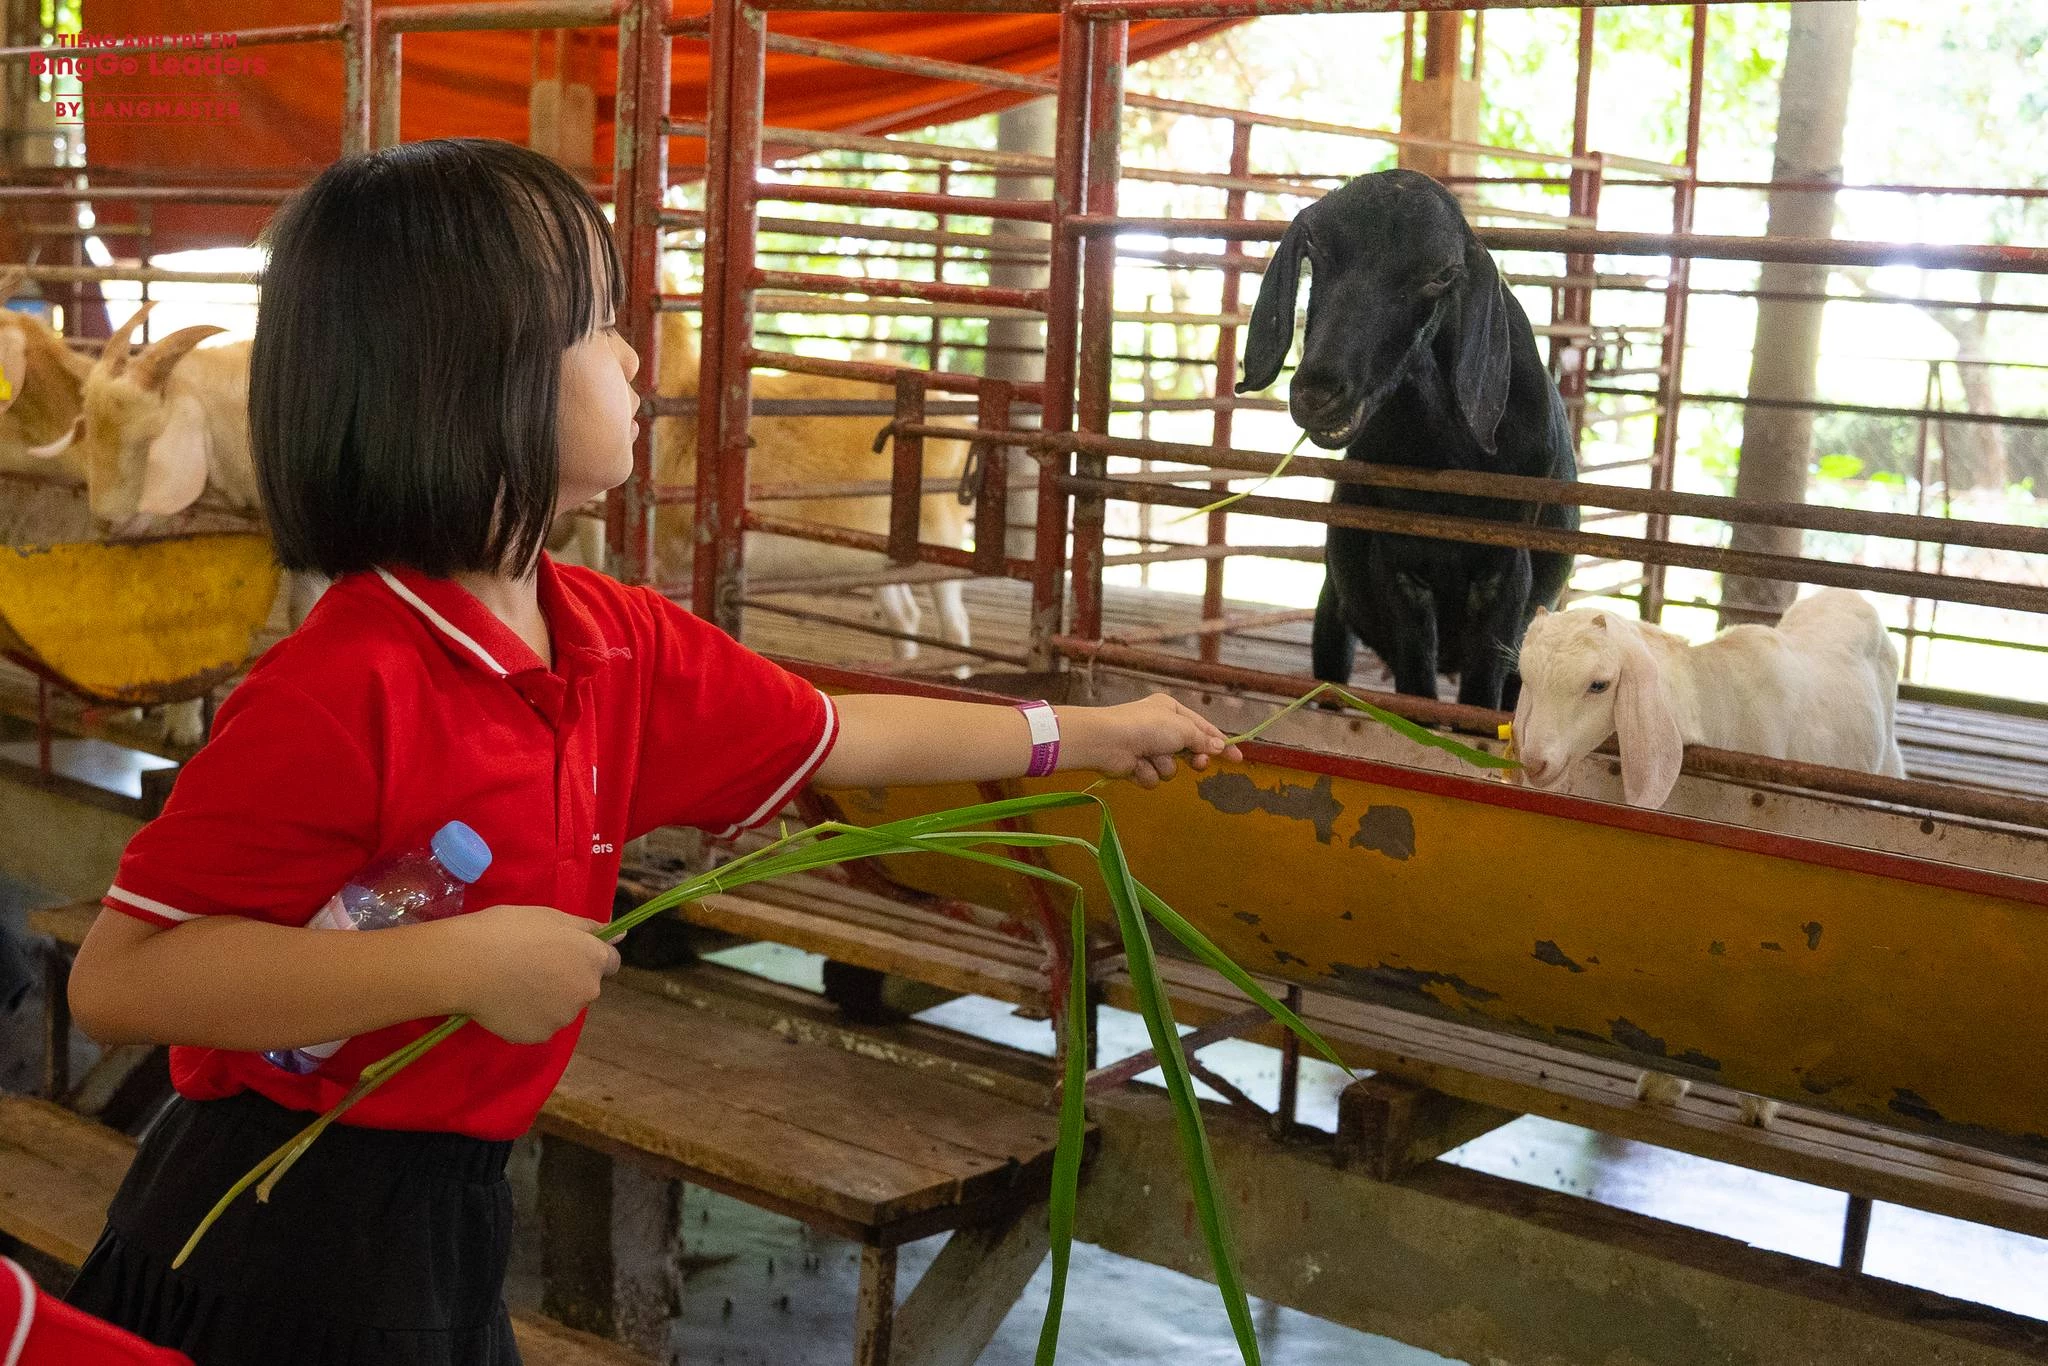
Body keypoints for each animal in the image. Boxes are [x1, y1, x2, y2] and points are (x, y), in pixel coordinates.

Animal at [1228, 165, 1581, 712]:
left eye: (1442, 274)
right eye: (1317, 250)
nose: (1318, 394)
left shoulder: (1506, 571)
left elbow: (1480, 695)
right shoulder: (1397, 565)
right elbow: (1417, 684)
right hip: (1332, 611)